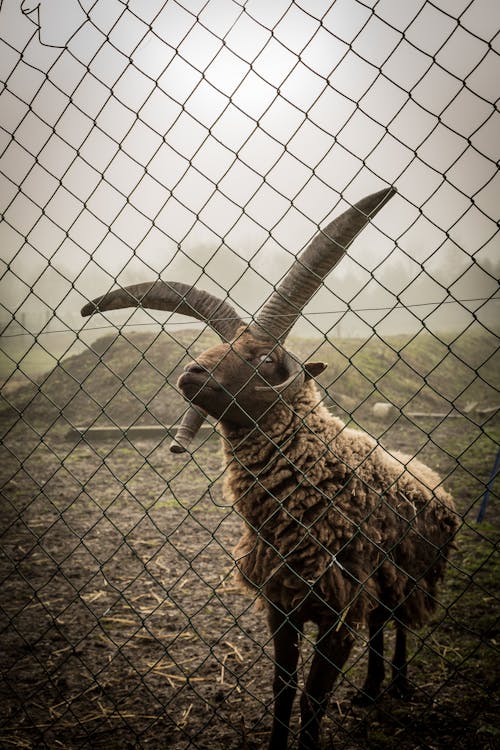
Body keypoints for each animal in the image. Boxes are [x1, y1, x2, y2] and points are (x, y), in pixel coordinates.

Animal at [81, 189, 458, 750]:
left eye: (263, 359)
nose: (192, 373)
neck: (320, 490)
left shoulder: (336, 612)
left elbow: (313, 698)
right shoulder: (283, 604)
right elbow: (282, 689)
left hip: (410, 579)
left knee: (398, 627)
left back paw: (400, 685)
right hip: (380, 585)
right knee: (381, 625)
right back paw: (370, 691)